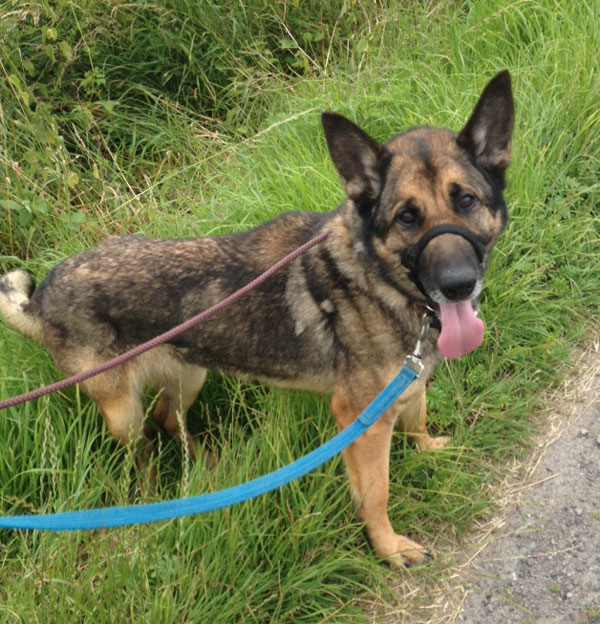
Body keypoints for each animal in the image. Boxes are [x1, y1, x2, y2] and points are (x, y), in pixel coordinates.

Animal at [1, 70, 516, 568]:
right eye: (407, 217)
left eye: (466, 201)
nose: (458, 284)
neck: (376, 277)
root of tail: (45, 292)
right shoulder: (361, 422)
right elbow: (376, 495)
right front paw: (389, 549)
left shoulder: (406, 386)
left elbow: (418, 418)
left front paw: (429, 450)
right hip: (122, 411)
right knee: (143, 447)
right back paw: (151, 505)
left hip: (190, 374)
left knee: (168, 419)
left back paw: (208, 470)